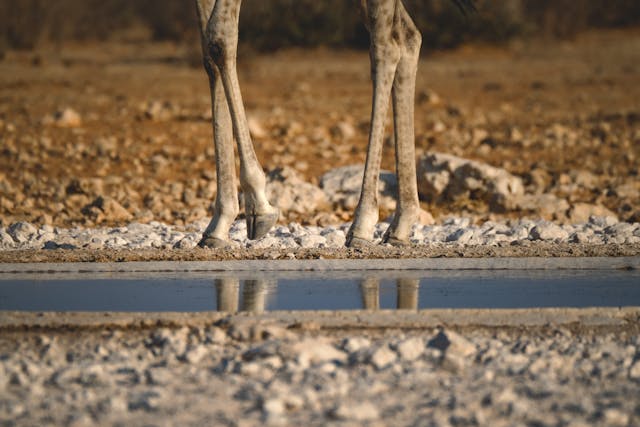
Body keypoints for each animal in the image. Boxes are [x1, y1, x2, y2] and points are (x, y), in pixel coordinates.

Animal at [194, 0, 474, 248]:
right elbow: (208, 50)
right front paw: (219, 223)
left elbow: (220, 36)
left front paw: (258, 204)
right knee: (407, 36)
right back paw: (400, 226)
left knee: (387, 44)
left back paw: (362, 224)